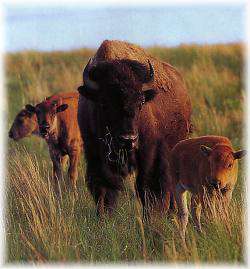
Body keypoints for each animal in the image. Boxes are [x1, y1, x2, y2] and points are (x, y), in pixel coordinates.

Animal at [78, 39, 191, 216]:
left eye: (141, 102)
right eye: (104, 103)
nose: (128, 139)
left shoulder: (150, 152)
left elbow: (147, 186)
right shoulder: (95, 154)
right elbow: (104, 186)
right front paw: (104, 217)